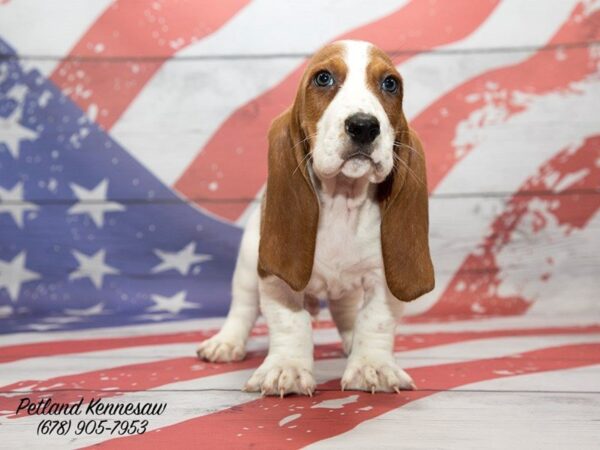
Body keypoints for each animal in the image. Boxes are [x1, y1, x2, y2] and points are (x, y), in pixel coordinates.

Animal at [199, 40, 434, 396]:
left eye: (390, 84)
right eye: (323, 78)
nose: (364, 126)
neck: (342, 201)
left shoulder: (382, 278)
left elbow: (375, 320)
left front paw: (372, 366)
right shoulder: (274, 279)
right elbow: (290, 322)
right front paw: (286, 368)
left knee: (346, 312)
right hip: (247, 265)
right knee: (242, 307)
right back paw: (226, 343)